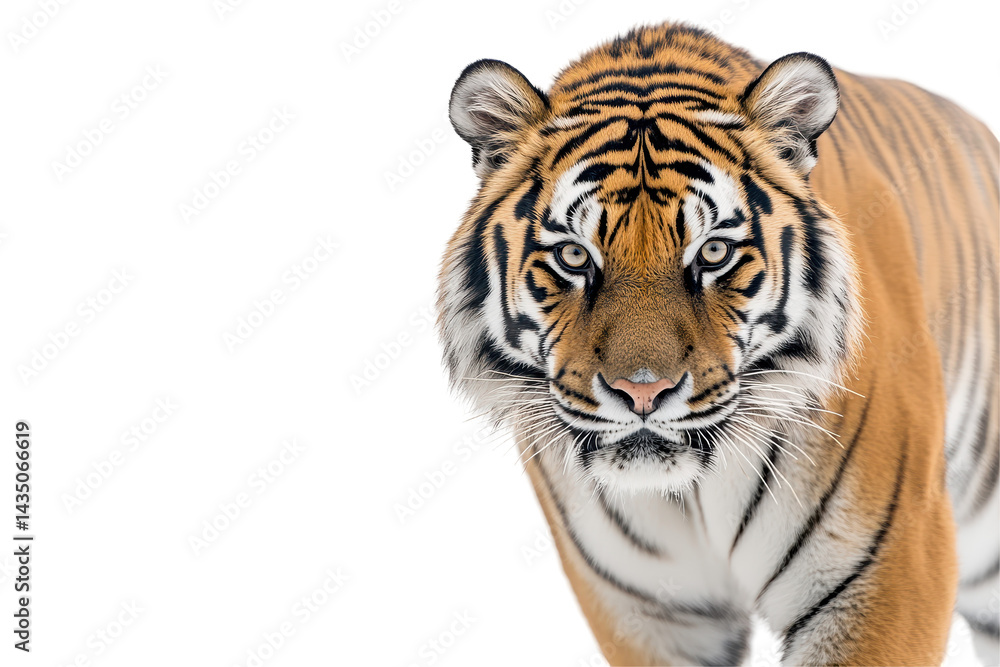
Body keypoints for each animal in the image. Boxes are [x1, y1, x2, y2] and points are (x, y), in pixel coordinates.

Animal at [436, 23, 999, 666]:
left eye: (713, 252)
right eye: (575, 256)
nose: (643, 392)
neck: (687, 495)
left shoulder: (887, 566)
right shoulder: (649, 613)